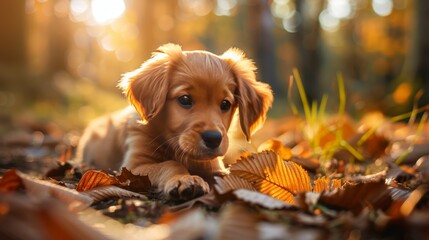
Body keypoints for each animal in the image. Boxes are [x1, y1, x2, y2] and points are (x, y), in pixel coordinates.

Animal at [75, 43, 272, 201]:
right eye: (185, 99)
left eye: (225, 104)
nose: (213, 138)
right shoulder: (134, 166)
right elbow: (169, 164)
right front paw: (185, 179)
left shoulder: (213, 163)